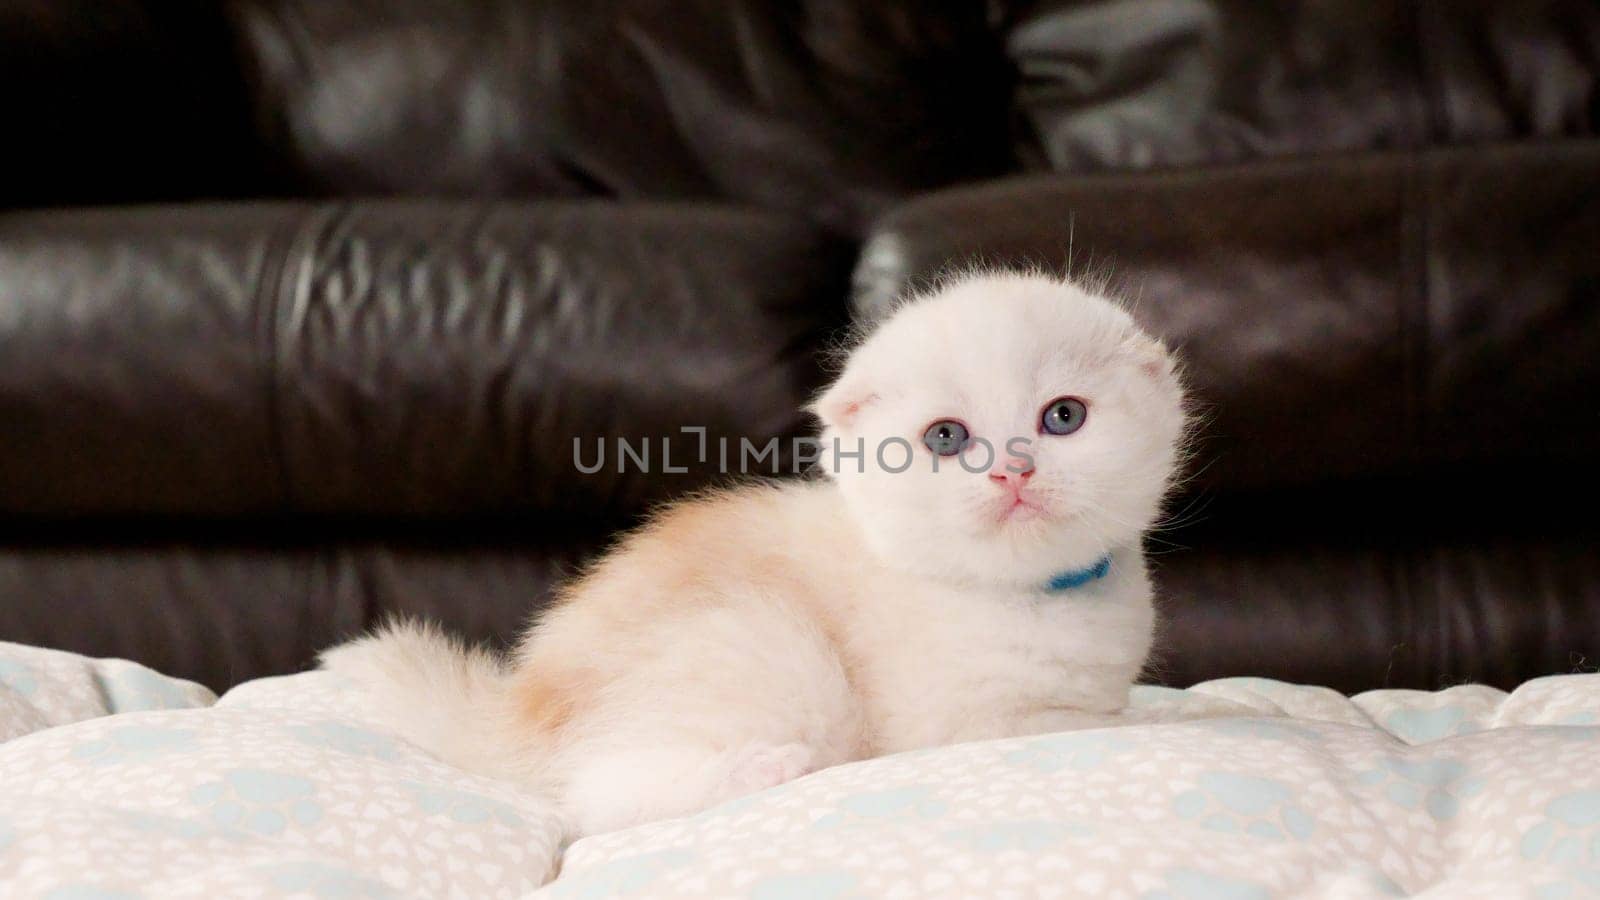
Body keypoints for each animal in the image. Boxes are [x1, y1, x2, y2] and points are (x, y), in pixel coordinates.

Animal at [321, 269, 1190, 839]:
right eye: (946, 437)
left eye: (1063, 417)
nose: (1014, 468)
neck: (1031, 595)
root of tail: (519, 707)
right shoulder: (962, 723)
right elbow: (1088, 725)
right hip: (767, 650)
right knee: (596, 804)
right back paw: (767, 771)